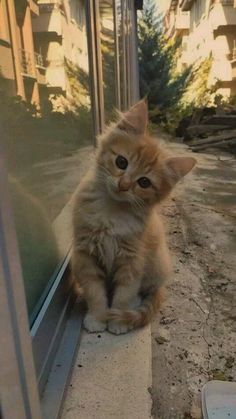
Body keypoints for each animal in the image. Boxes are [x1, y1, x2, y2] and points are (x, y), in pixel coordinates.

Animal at [71, 99, 195, 334]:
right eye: (121, 162)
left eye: (144, 182)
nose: (124, 185)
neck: (112, 211)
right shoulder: (85, 253)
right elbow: (94, 291)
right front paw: (98, 317)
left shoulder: (133, 258)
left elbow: (124, 293)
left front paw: (118, 320)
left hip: (156, 265)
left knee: (146, 291)